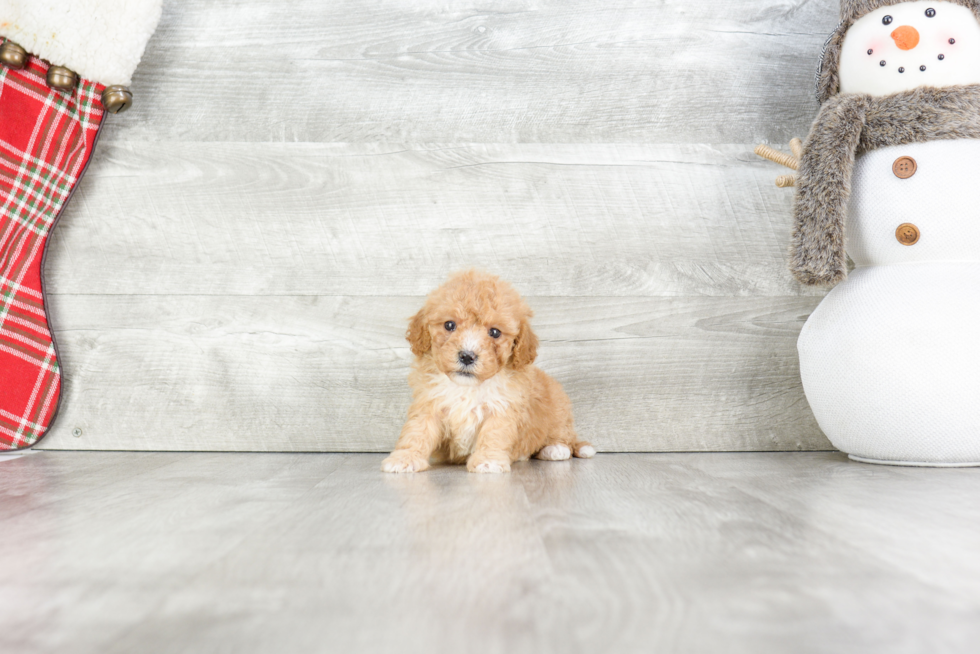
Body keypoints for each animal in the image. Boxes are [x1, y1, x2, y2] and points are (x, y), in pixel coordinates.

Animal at [382, 270, 596, 474]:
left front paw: (488, 461)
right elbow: (417, 431)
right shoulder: (429, 403)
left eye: (495, 332)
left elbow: (493, 435)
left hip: (558, 411)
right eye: (449, 325)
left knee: (564, 435)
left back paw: (556, 449)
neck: (467, 387)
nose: (467, 356)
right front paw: (405, 458)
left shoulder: (501, 408)